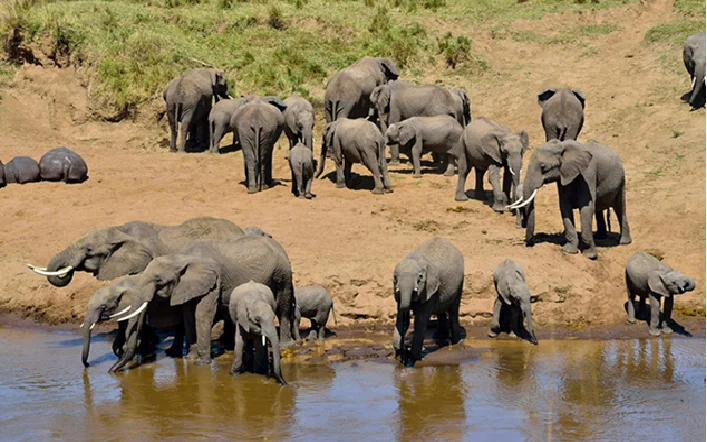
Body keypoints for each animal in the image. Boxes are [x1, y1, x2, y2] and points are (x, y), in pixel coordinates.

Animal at [110, 236, 296, 368]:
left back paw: (286, 345)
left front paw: (201, 363)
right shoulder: (187, 286)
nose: (112, 370)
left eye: (158, 280)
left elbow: (202, 314)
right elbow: (188, 315)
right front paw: (190, 358)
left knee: (283, 306)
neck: (181, 257)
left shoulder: (213, 281)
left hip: (283, 273)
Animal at [393, 237, 465, 367]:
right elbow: (400, 315)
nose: (404, 348)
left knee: (453, 310)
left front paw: (413, 358)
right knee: (441, 310)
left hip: (460, 282)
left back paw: (457, 342)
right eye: (395, 278)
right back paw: (440, 336)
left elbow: (420, 320)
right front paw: (400, 355)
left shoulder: (430, 289)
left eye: (420, 277)